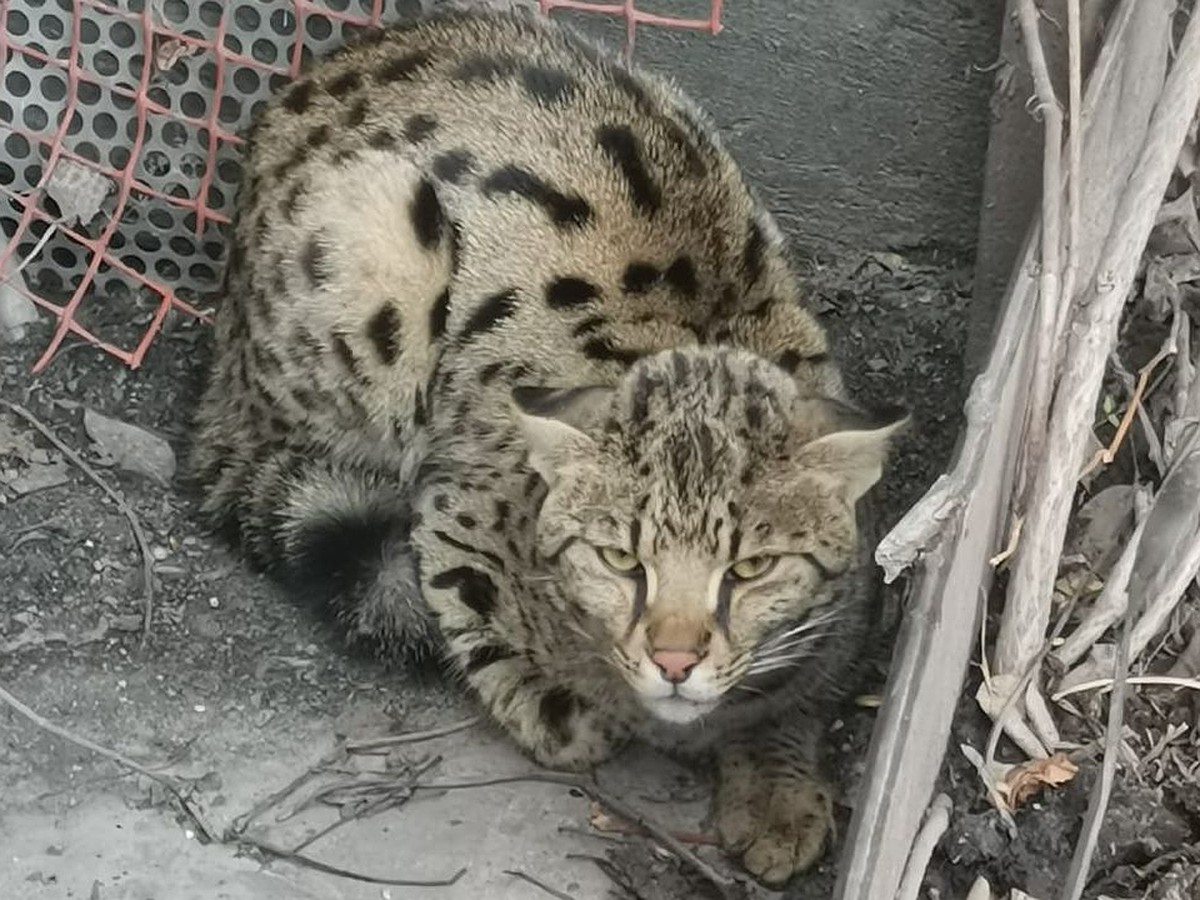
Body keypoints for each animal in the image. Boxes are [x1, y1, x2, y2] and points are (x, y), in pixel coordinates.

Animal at [194, 8, 902, 888]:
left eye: (752, 570)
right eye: (621, 561)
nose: (674, 661)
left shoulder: (848, 615)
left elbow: (799, 699)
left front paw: (779, 793)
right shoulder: (455, 509)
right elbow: (496, 631)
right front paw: (562, 704)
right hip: (374, 256)